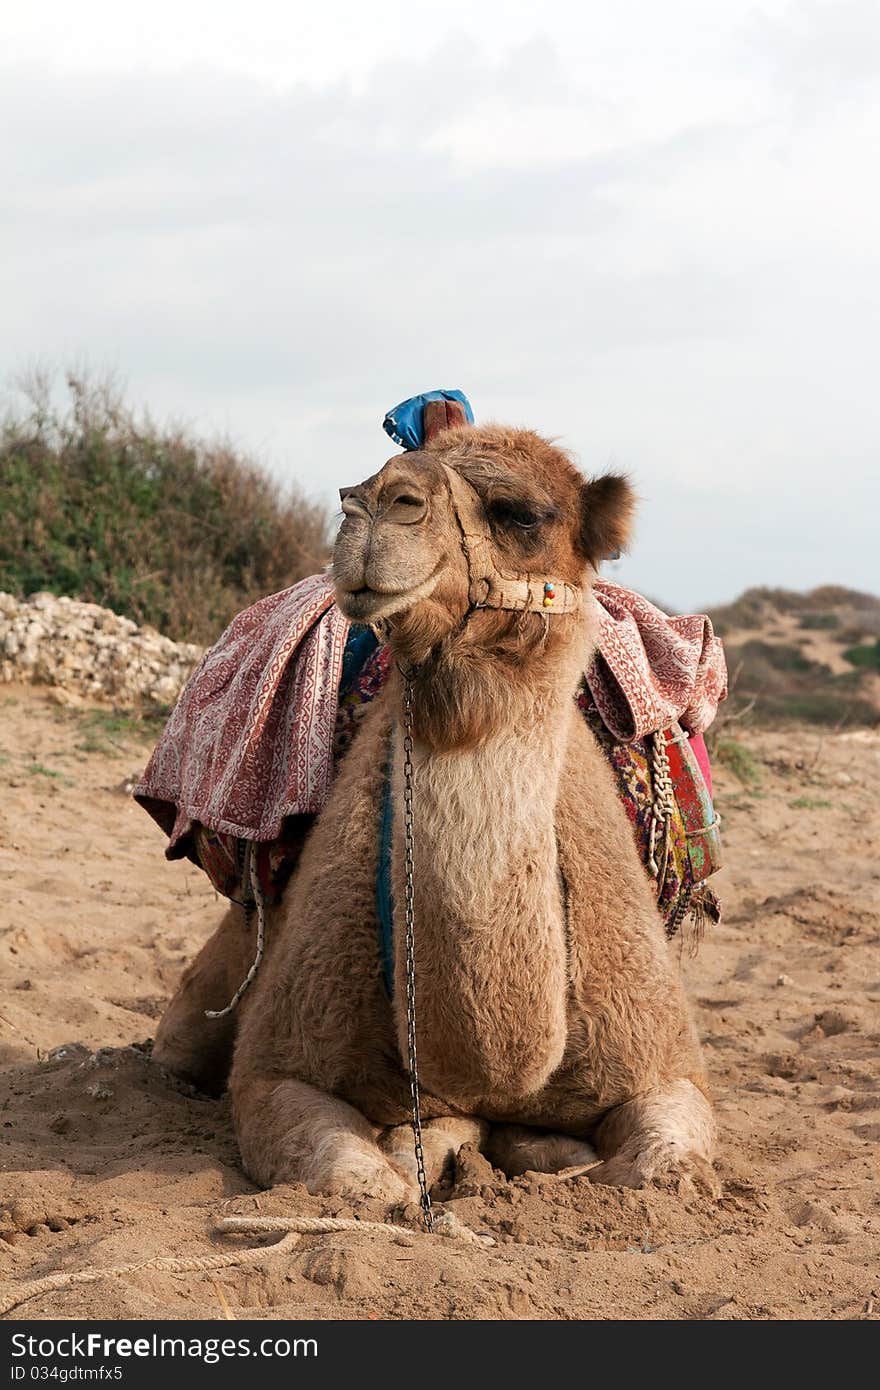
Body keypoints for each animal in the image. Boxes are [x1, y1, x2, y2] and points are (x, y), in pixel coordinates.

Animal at [150, 422, 711, 1206]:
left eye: (522, 514)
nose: (376, 501)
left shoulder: (665, 1062)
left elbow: (655, 1169)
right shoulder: (276, 1066)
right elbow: (364, 1186)